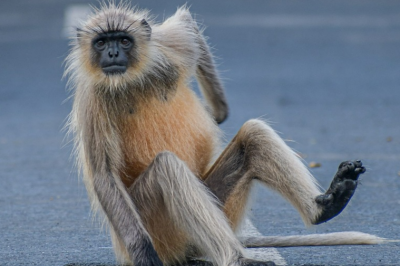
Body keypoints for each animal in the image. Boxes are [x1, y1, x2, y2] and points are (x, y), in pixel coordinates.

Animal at [65, 2, 388, 266]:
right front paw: (143, 254)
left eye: (123, 40)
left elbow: (189, 27)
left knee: (253, 135)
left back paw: (326, 205)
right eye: (101, 42)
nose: (112, 53)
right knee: (167, 168)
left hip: (218, 205)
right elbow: (104, 175)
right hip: (156, 226)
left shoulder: (165, 46)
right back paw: (237, 258)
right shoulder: (93, 98)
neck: (131, 81)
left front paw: (217, 111)